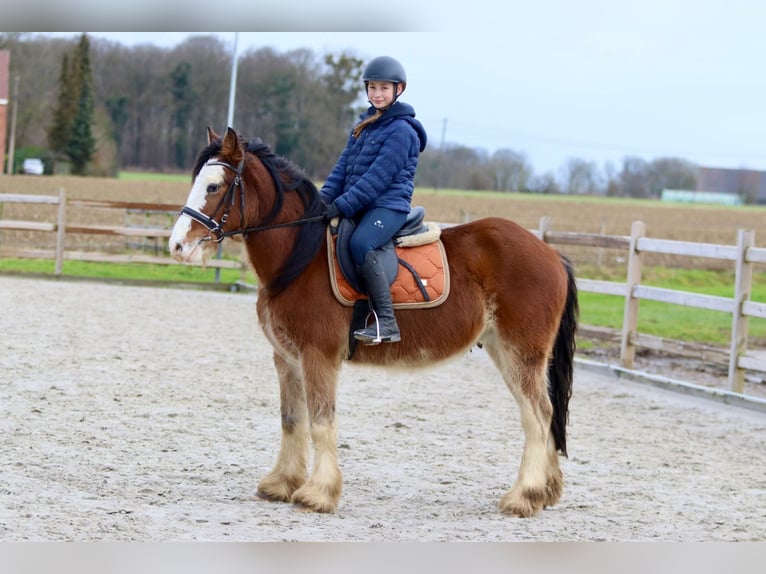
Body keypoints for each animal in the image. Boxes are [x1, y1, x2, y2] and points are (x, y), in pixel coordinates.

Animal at [171, 128, 580, 520]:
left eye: (213, 186)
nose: (177, 246)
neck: (300, 258)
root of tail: (551, 254)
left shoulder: (318, 356)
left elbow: (321, 421)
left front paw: (318, 494)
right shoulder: (287, 358)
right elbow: (292, 419)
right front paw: (281, 484)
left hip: (520, 352)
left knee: (538, 417)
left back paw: (524, 497)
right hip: (504, 350)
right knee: (542, 415)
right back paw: (545, 492)